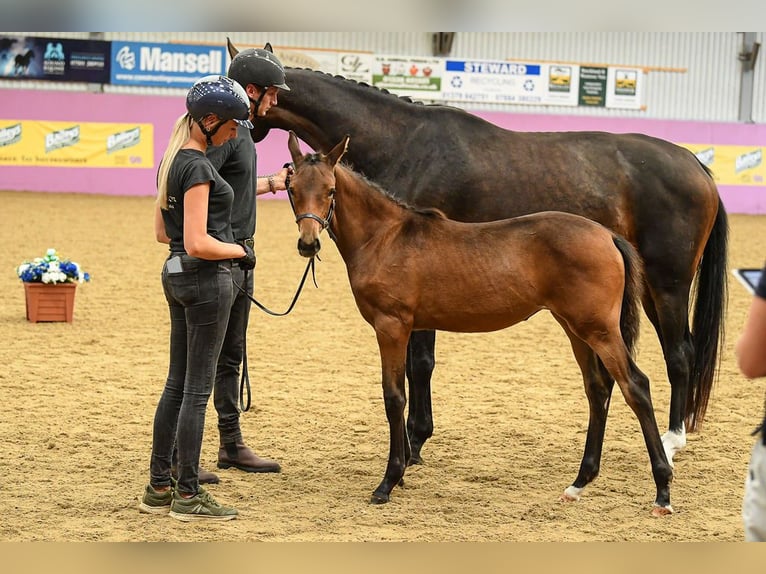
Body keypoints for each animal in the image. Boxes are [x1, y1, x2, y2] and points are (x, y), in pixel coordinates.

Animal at [231, 39, 728, 468]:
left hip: (668, 282)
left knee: (679, 352)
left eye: (236, 83)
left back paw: (672, 440)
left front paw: (414, 442)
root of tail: (694, 162)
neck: (401, 142)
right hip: (644, 287)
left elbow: (420, 364)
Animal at [286, 133, 672, 516]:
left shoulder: (391, 327)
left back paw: (662, 491)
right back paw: (578, 484)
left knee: (635, 386)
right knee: (598, 389)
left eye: (331, 190)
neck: (386, 237)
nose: (308, 244)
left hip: (600, 330)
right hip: (575, 328)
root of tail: (608, 236)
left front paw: (388, 482)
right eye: (292, 188)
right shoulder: (408, 329)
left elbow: (394, 398)